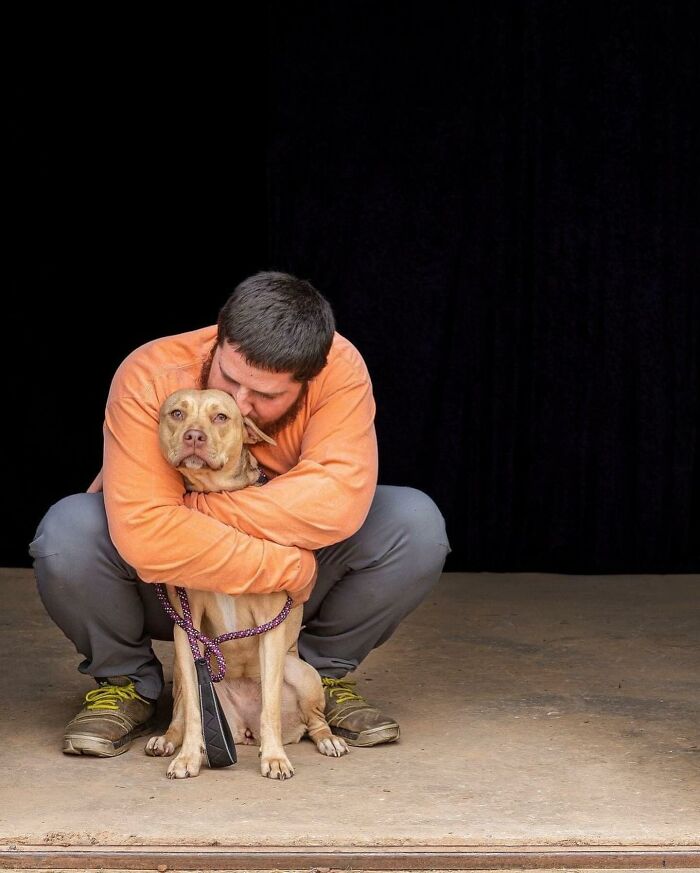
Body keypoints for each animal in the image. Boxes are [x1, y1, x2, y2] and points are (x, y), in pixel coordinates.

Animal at [145, 388, 348, 776]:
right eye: (176, 413)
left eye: (221, 417)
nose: (194, 436)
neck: (216, 493)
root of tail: (244, 730)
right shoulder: (186, 630)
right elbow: (195, 714)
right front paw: (188, 756)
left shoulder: (270, 627)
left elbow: (270, 707)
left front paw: (275, 758)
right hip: (182, 670)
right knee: (181, 711)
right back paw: (168, 740)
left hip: (302, 673)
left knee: (313, 720)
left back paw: (327, 740)